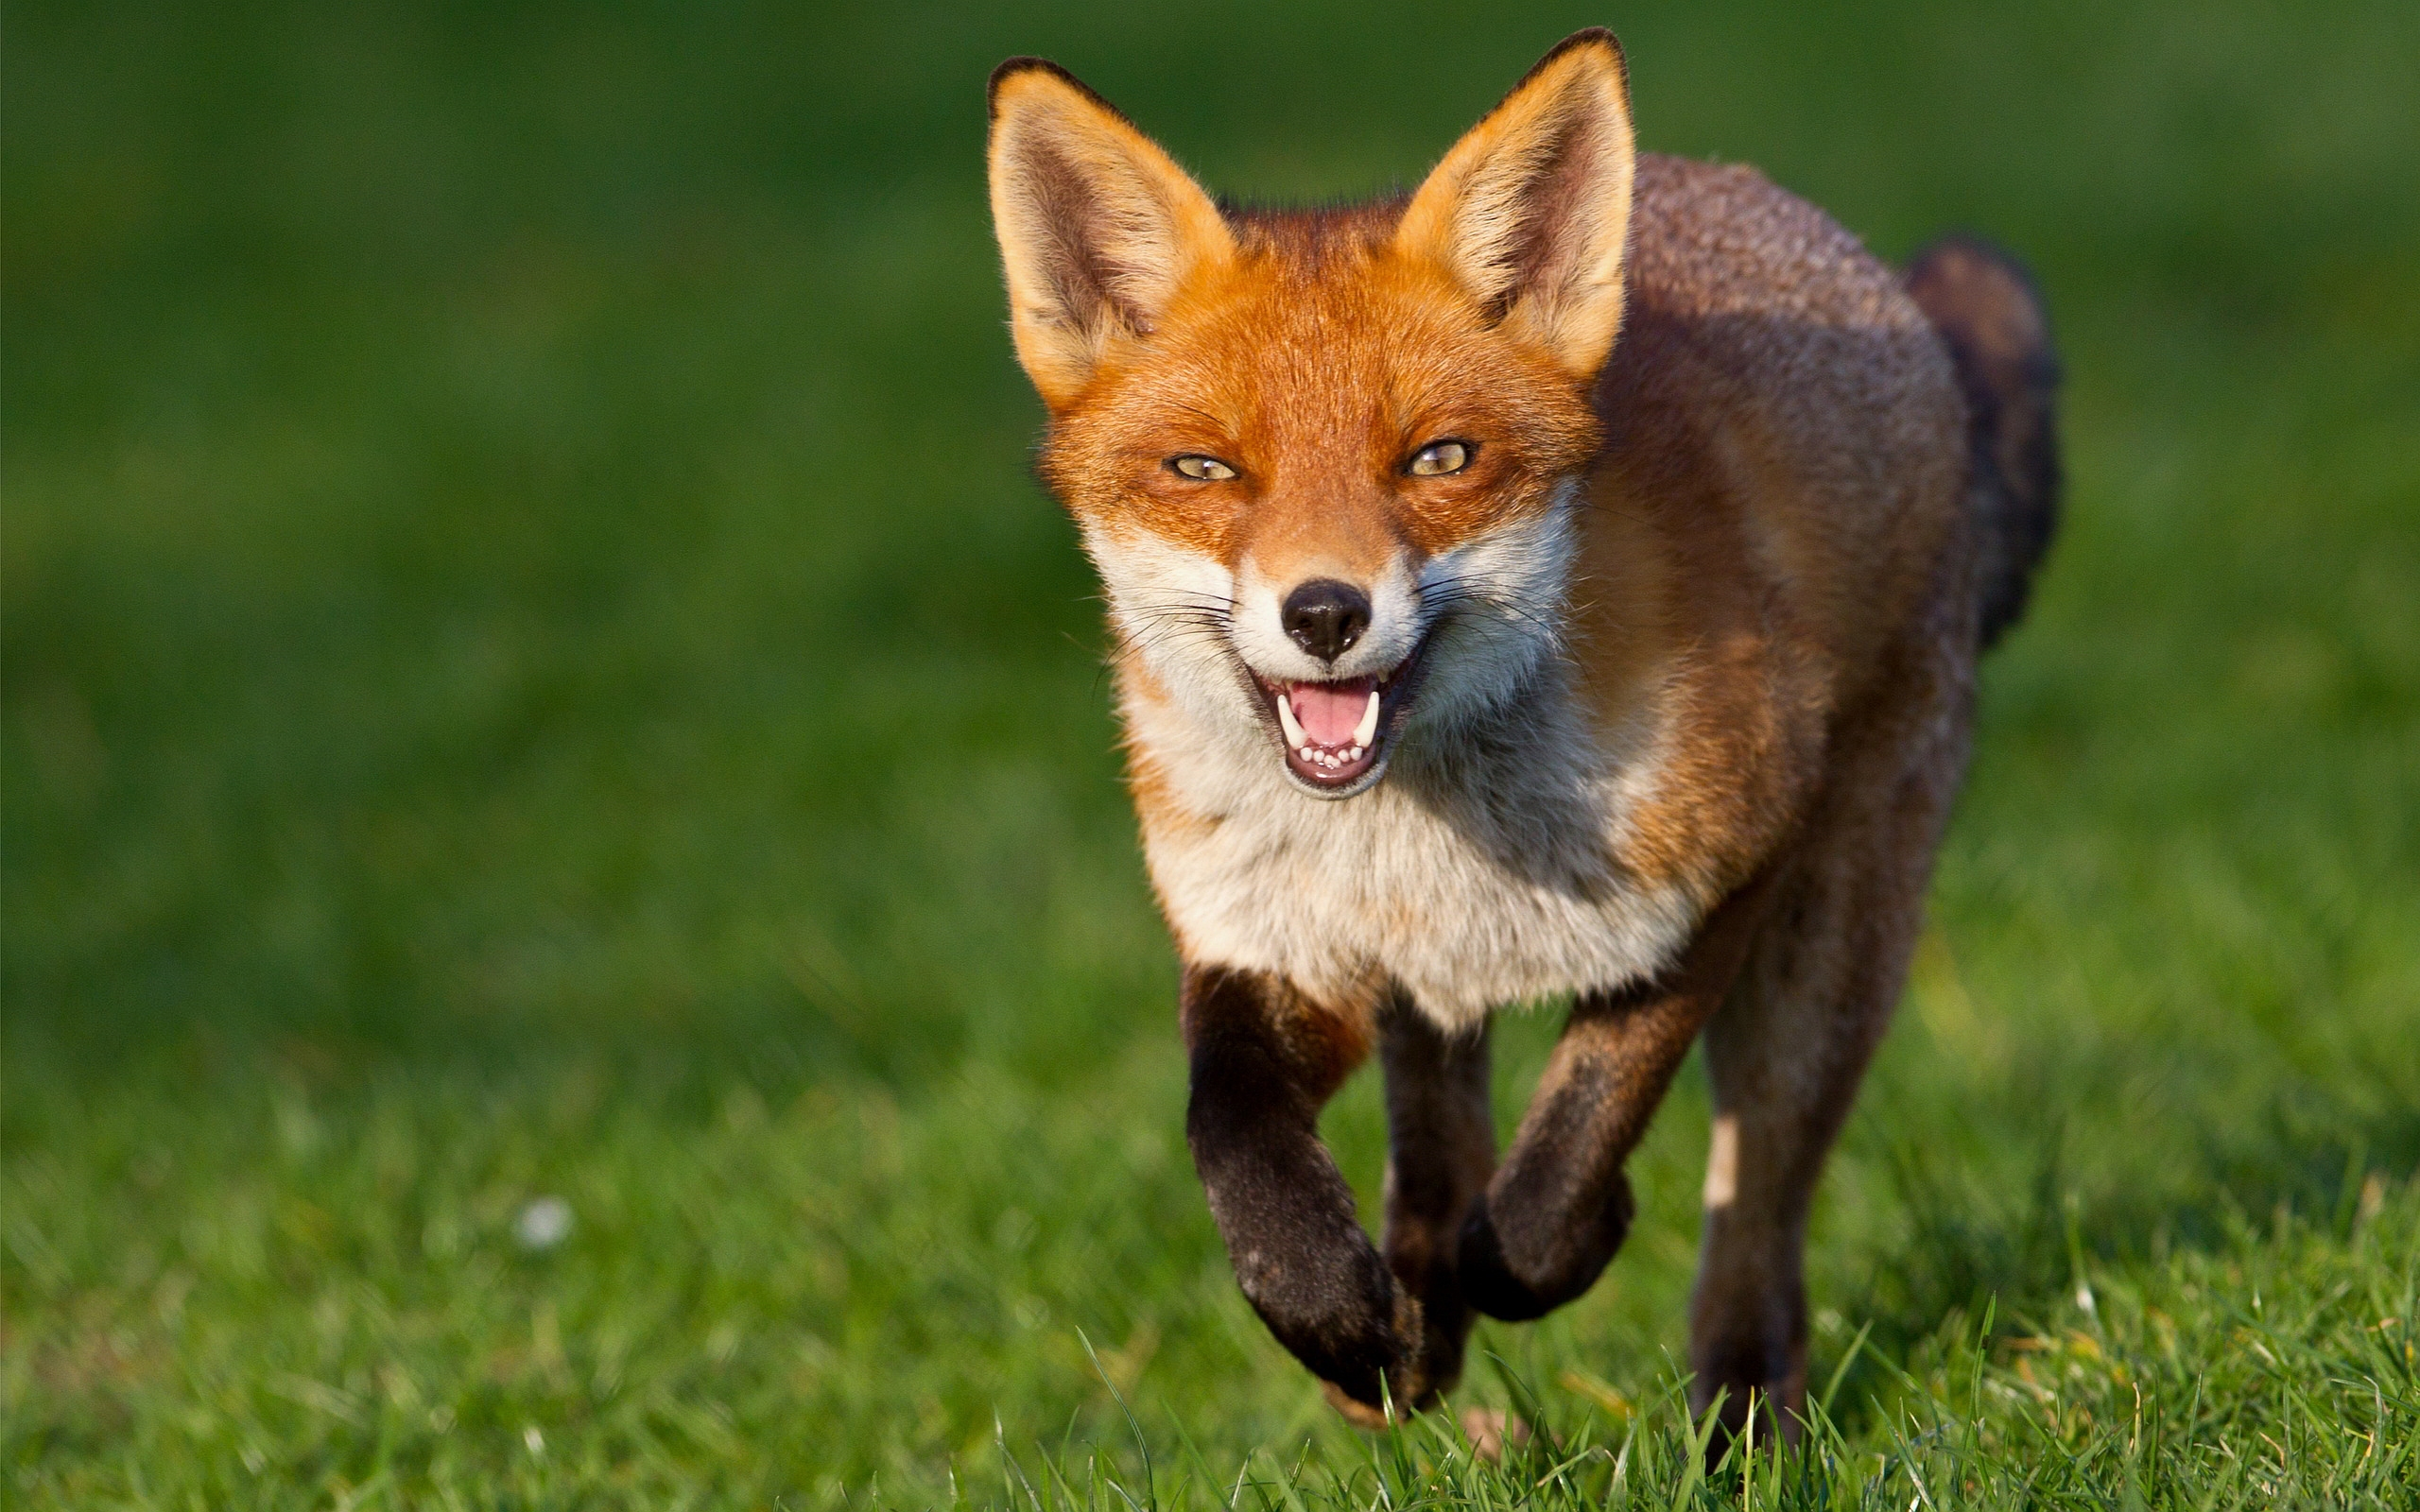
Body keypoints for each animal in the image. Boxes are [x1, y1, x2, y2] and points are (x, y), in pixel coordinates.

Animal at [984, 28, 2059, 1447]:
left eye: (1439, 458)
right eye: (1206, 471)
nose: (1324, 613)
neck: (1416, 837)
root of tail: (1846, 258)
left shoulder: (1719, 878)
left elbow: (1562, 1165)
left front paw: (1579, 1236)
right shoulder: (1269, 943)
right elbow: (1234, 1139)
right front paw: (1336, 1315)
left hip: (1830, 957)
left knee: (1759, 1208)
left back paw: (1740, 1414)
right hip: (1431, 999)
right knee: (1434, 1148)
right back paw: (1414, 1328)